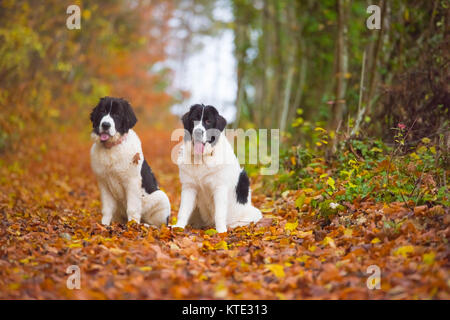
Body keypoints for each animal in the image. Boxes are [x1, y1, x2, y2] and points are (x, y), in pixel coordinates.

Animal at [89, 96, 171, 226]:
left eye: (117, 114)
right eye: (102, 111)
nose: (106, 125)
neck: (111, 147)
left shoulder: (132, 182)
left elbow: (132, 208)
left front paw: (132, 226)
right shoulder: (103, 183)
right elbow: (107, 209)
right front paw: (104, 225)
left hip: (161, 197)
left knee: (160, 226)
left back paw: (145, 226)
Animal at [172, 104, 264, 232]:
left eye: (208, 121)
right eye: (193, 120)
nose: (198, 132)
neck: (202, 159)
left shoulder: (220, 188)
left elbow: (219, 213)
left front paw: (221, 232)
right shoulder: (189, 187)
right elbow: (183, 210)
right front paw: (179, 227)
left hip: (253, 212)